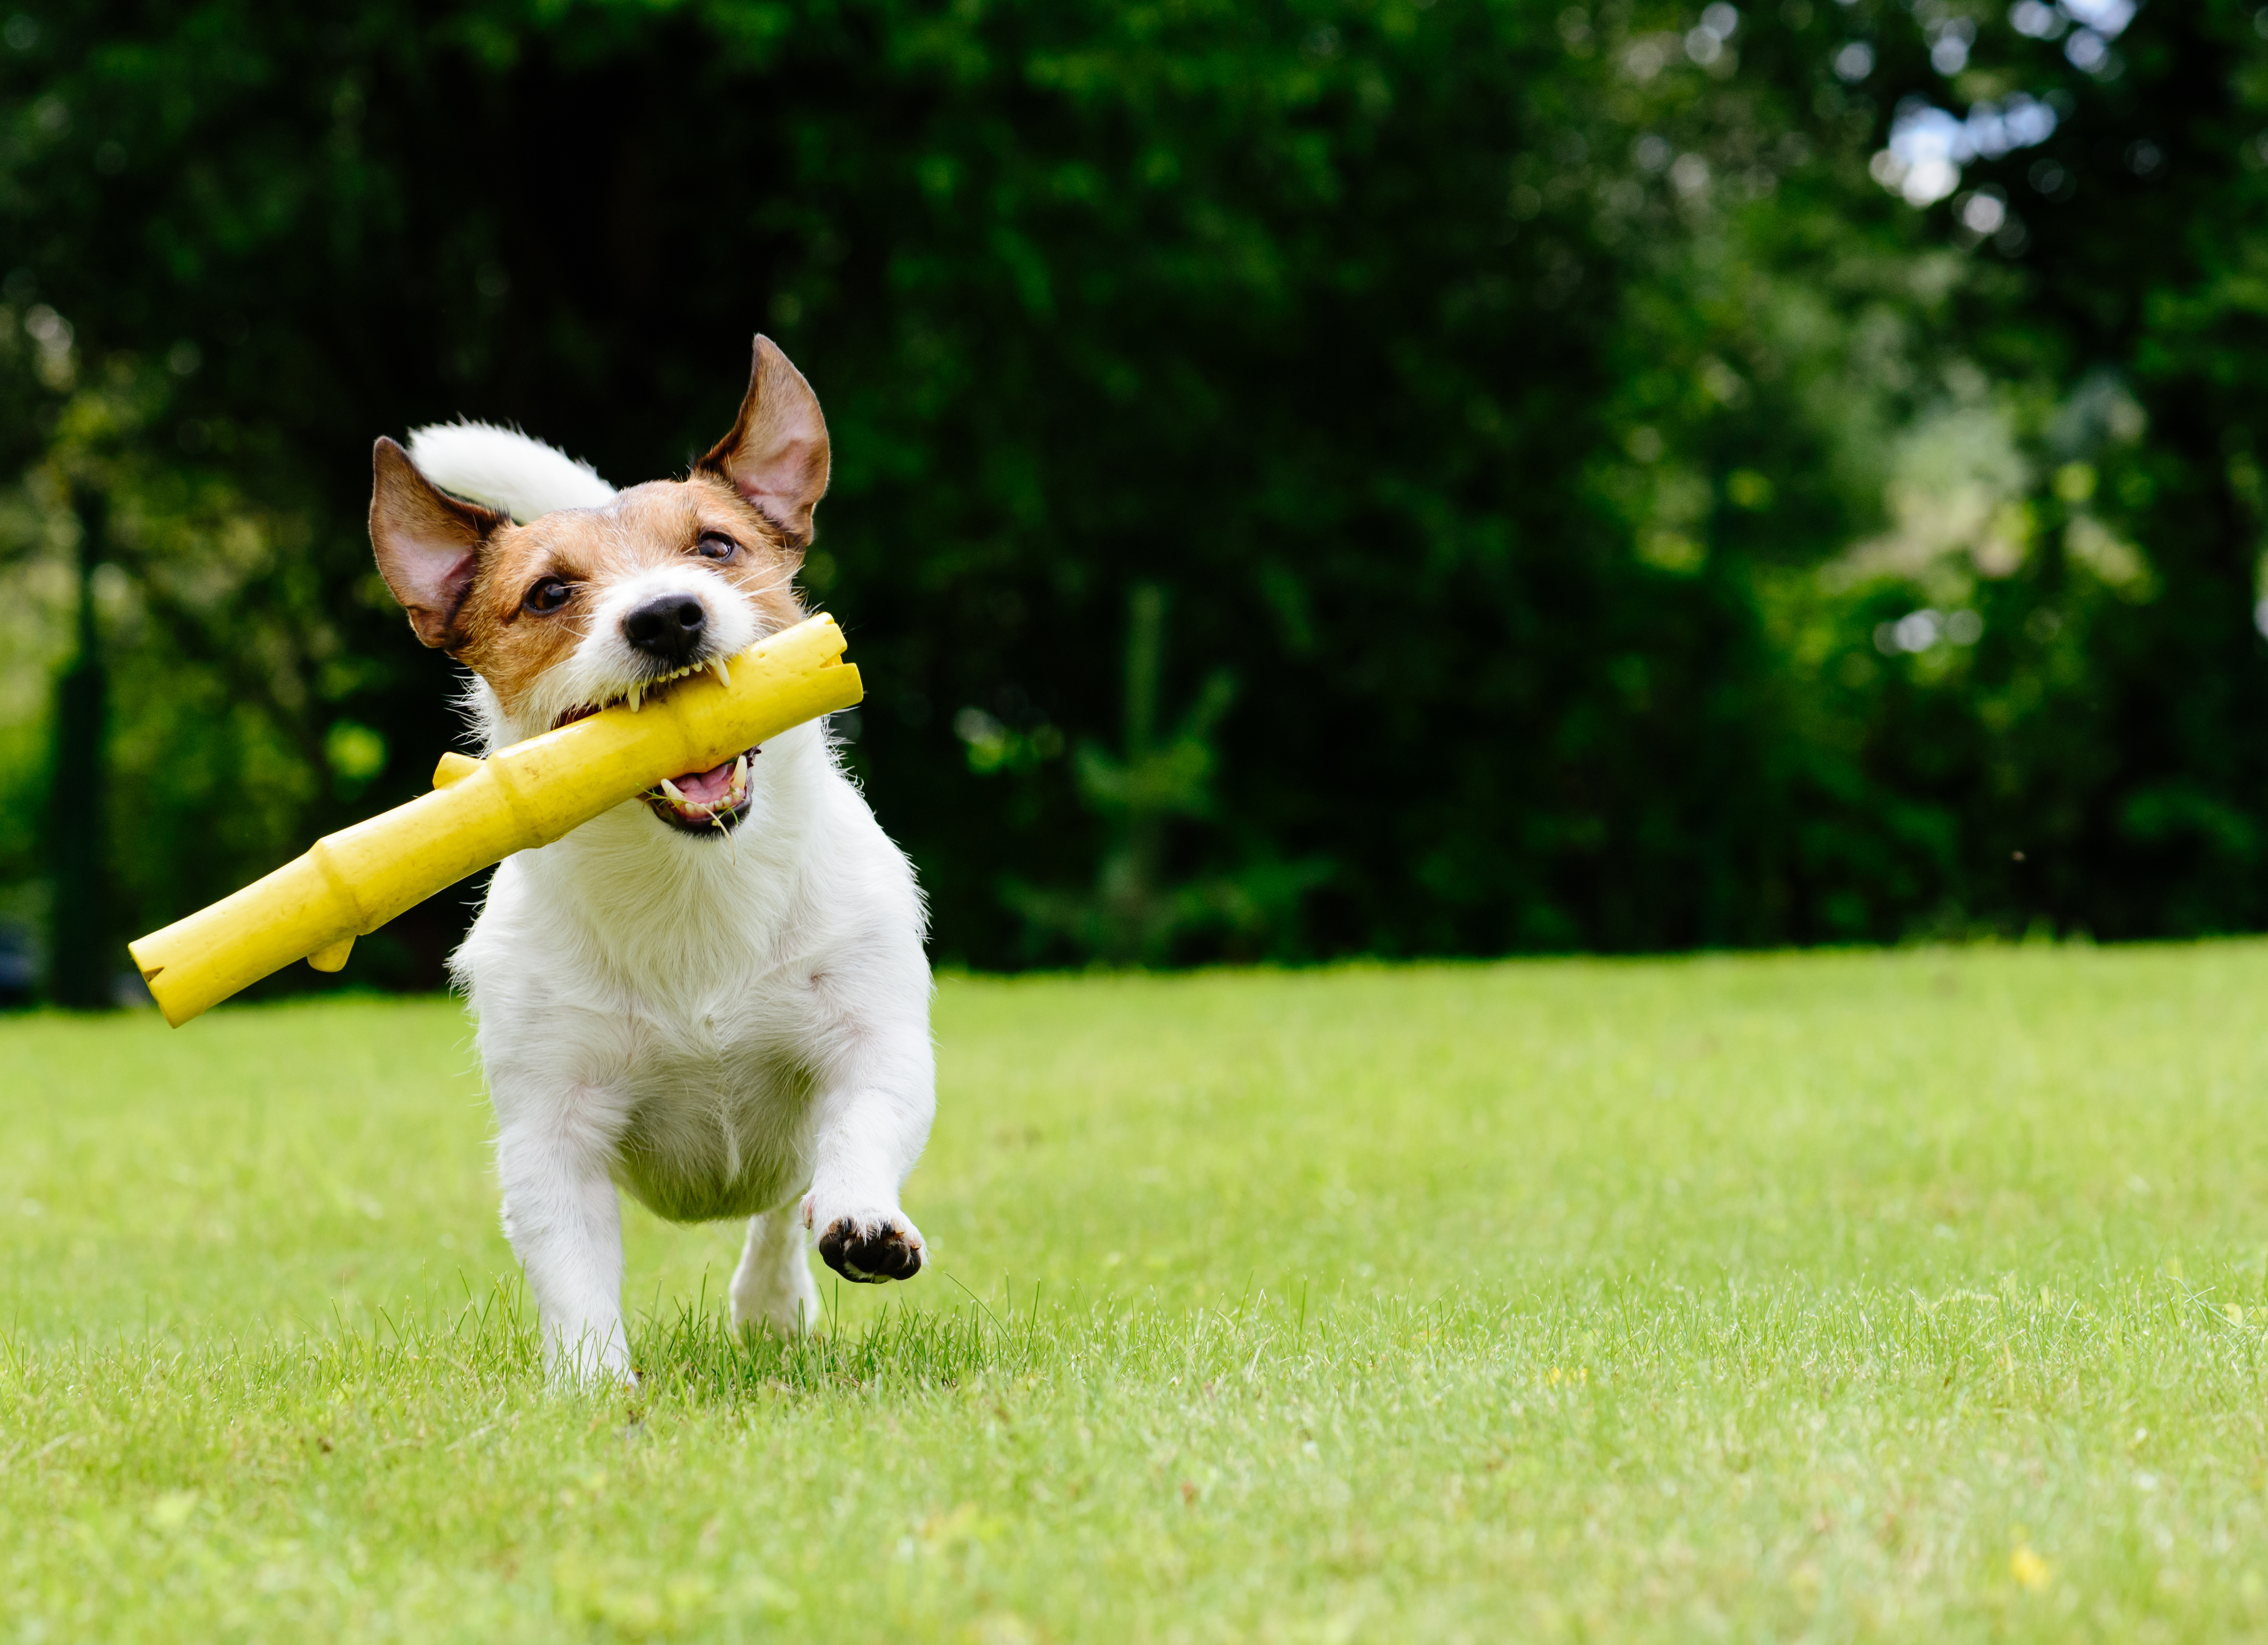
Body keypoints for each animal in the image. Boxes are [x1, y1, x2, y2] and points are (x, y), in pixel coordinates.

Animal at [367, 340, 934, 1379]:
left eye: (715, 546)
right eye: (549, 592)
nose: (667, 615)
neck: (692, 885)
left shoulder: (873, 1037)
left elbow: (861, 1125)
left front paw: (864, 1221)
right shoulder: (551, 1130)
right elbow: (573, 1272)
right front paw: (596, 1389)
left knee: (780, 1207)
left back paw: (773, 1300)